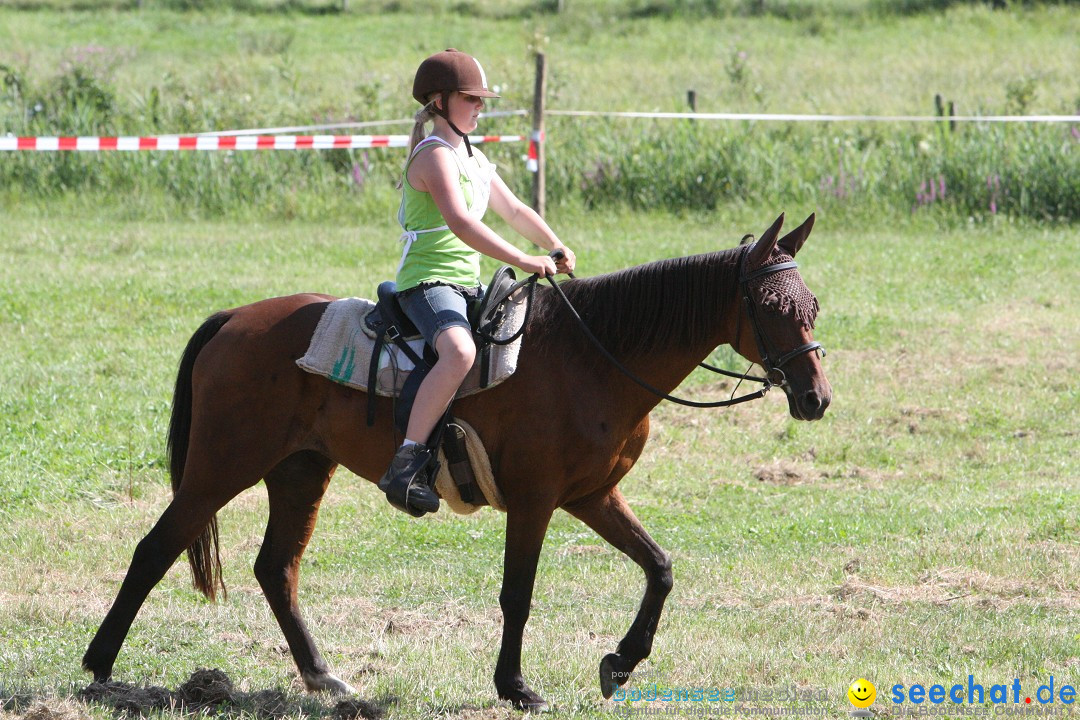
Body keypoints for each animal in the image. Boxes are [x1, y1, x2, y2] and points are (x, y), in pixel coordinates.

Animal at [84, 212, 829, 708]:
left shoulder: (592, 497)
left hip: (299, 471)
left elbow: (660, 567)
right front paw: (517, 686)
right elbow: (518, 593)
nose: (815, 397)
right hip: (222, 467)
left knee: (276, 568)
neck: (594, 357)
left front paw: (620, 662)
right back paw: (100, 667)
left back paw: (324, 677)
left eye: (813, 305)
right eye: (770, 306)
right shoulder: (535, 502)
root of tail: (235, 319)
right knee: (156, 548)